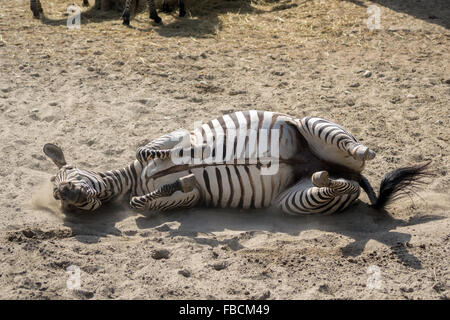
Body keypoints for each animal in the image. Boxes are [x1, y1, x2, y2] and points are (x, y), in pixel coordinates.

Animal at [43, 110, 432, 215]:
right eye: (58, 196)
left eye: (66, 172)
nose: (64, 193)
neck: (135, 179)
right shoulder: (188, 199)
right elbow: (151, 199)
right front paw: (177, 180)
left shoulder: (173, 134)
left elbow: (149, 150)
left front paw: (170, 156)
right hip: (296, 201)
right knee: (335, 185)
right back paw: (325, 177)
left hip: (310, 124)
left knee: (353, 149)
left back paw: (364, 152)